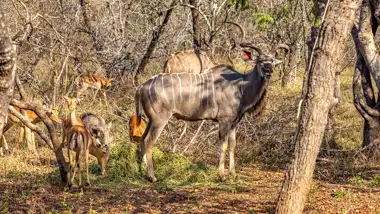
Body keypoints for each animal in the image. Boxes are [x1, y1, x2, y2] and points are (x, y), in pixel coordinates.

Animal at [136, 42, 288, 182]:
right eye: (260, 61)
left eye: (272, 62)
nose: (268, 72)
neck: (241, 87)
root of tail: (142, 86)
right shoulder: (224, 121)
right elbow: (224, 146)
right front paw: (222, 176)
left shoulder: (234, 123)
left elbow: (233, 145)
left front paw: (233, 174)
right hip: (160, 119)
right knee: (149, 140)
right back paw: (152, 176)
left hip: (151, 120)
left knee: (142, 138)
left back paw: (142, 170)